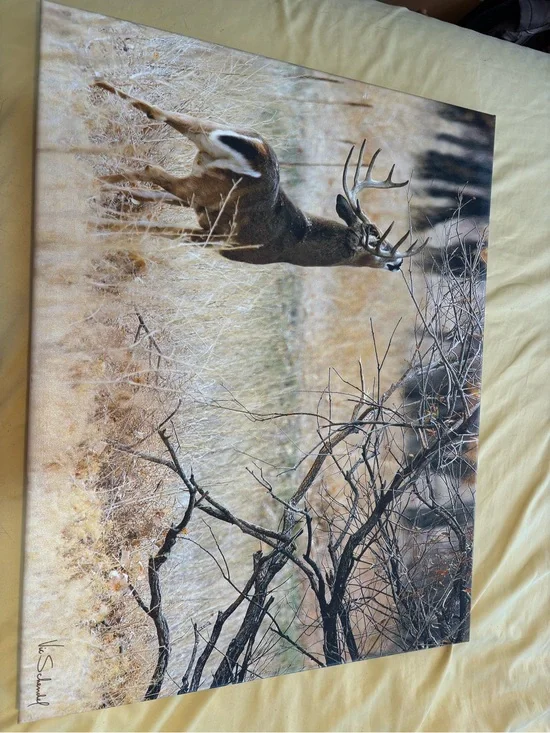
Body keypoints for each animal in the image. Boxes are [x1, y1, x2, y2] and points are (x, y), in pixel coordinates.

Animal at [93, 79, 428, 269]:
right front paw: (103, 227)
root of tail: (258, 154)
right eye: (384, 251)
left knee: (155, 111)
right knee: (153, 167)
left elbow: (144, 200)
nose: (398, 264)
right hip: (207, 185)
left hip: (206, 141)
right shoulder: (217, 237)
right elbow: (154, 227)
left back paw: (97, 85)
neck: (297, 244)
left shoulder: (202, 213)